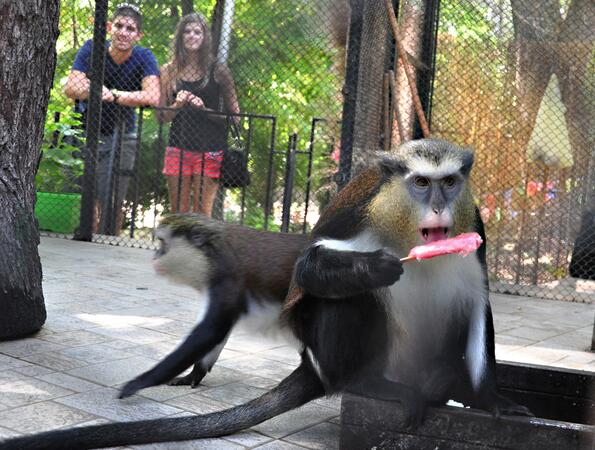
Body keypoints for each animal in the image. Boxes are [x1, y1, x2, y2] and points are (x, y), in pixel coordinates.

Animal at [118, 214, 310, 398]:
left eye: (162, 243)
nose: (155, 255)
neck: (210, 254)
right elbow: (218, 334)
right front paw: (193, 375)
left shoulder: (226, 280)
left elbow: (211, 331)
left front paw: (140, 382)